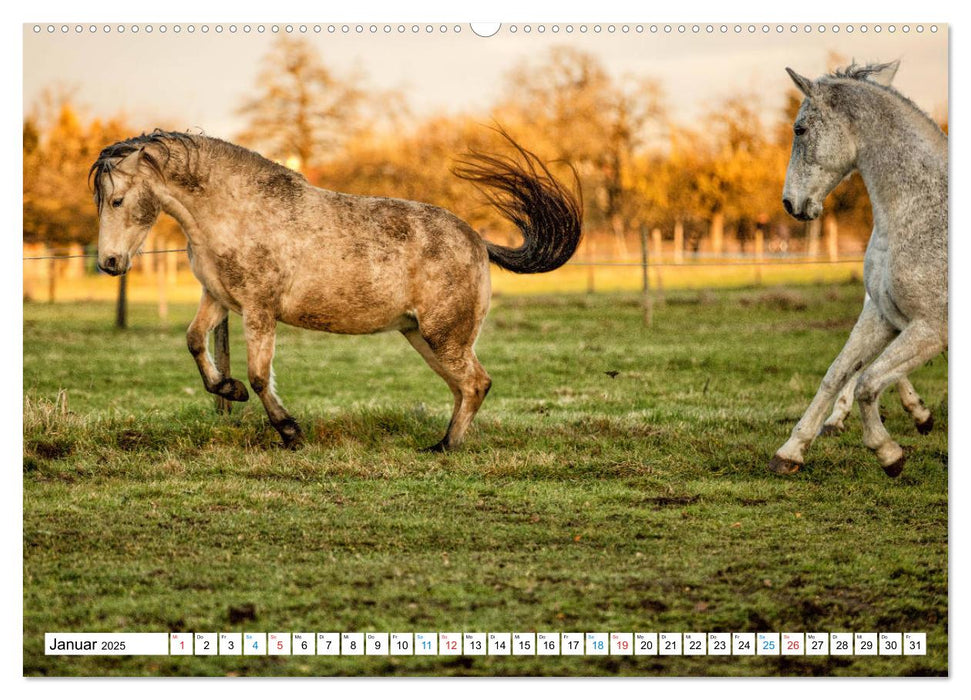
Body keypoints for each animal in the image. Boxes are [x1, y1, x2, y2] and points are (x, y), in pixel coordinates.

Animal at [91, 131, 580, 448]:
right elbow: (195, 341)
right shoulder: (220, 298)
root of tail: (478, 241)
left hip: (444, 336)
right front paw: (229, 389)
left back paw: (446, 447)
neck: (237, 213)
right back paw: (444, 440)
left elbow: (259, 374)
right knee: (465, 388)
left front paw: (289, 432)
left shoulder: (259, 308)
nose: (109, 263)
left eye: (117, 200)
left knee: (476, 383)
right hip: (422, 336)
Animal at [772, 61, 944, 476]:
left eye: (799, 129)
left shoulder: (931, 327)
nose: (789, 203)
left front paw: (889, 451)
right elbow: (839, 372)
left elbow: (867, 380)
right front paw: (792, 450)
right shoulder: (882, 313)